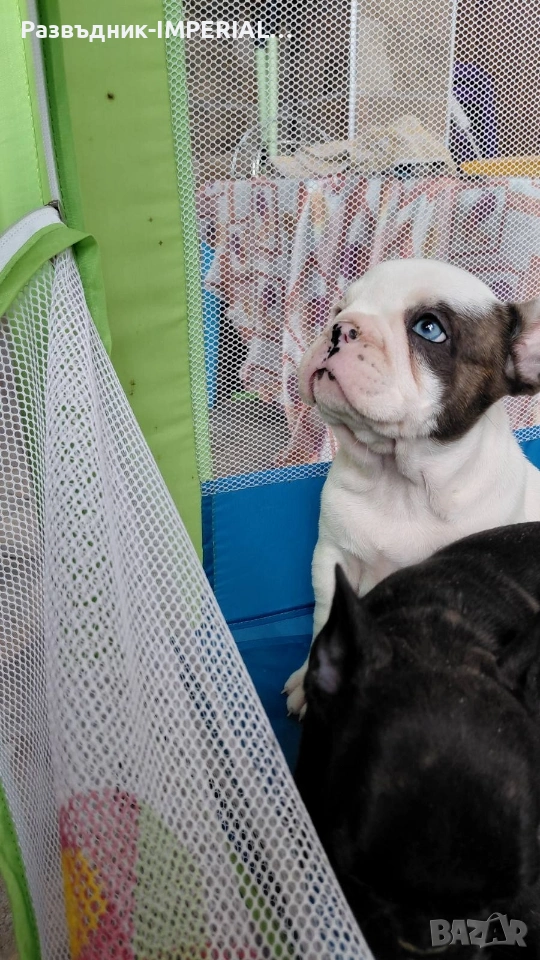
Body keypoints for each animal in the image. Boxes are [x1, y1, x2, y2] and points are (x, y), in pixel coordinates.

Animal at [285, 258, 540, 716]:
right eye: (338, 308)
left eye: (428, 328)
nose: (339, 328)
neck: (399, 482)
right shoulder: (333, 557)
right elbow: (323, 618)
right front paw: (307, 677)